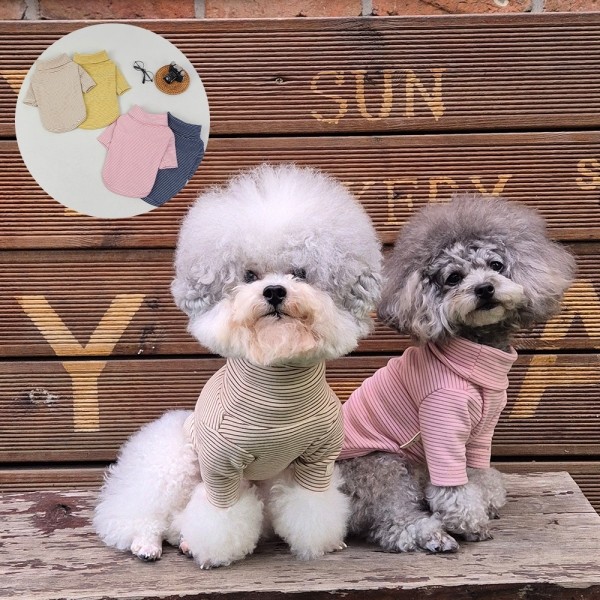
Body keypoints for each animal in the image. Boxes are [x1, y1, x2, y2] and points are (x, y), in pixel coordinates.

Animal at [93, 164, 382, 568]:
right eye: (249, 276)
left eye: (300, 272)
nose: (274, 291)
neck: (279, 385)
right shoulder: (220, 466)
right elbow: (220, 516)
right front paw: (213, 554)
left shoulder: (315, 461)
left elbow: (312, 506)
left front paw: (320, 544)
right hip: (172, 462)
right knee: (138, 514)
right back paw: (146, 544)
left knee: (176, 525)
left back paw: (182, 542)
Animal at [336, 194, 575, 553]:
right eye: (453, 277)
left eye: (496, 265)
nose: (485, 289)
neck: (477, 356)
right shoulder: (441, 421)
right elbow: (452, 486)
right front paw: (468, 521)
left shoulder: (482, 430)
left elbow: (475, 470)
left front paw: (486, 500)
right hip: (382, 466)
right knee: (392, 522)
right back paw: (430, 534)